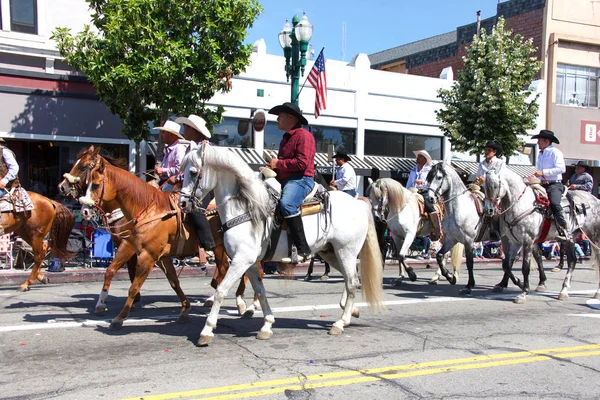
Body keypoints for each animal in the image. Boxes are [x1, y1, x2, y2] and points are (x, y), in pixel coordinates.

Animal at [178, 142, 384, 346]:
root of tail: (358, 203)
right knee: (351, 279)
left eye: (194, 172)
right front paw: (267, 325)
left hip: (346, 251)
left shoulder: (241, 260)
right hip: (330, 252)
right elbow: (260, 291)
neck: (246, 207)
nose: (182, 203)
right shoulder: (249, 263)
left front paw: (207, 330)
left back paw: (340, 322)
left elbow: (221, 290)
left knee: (351, 282)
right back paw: (350, 312)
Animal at [424, 161, 548, 296]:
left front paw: (469, 285)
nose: (430, 198)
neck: (458, 207)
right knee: (520, 258)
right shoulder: (451, 239)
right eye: (428, 177)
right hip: (512, 239)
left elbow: (469, 263)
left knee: (520, 258)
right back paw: (510, 284)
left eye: (439, 177)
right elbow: (440, 256)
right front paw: (450, 277)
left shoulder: (468, 240)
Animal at [482, 167, 600, 302]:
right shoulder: (515, 241)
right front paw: (519, 283)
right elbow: (506, 264)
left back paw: (597, 292)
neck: (522, 205)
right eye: (484, 186)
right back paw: (563, 291)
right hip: (571, 238)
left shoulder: (527, 241)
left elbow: (525, 267)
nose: (488, 210)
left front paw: (524, 292)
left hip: (593, 236)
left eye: (495, 186)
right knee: (572, 261)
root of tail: (595, 199)